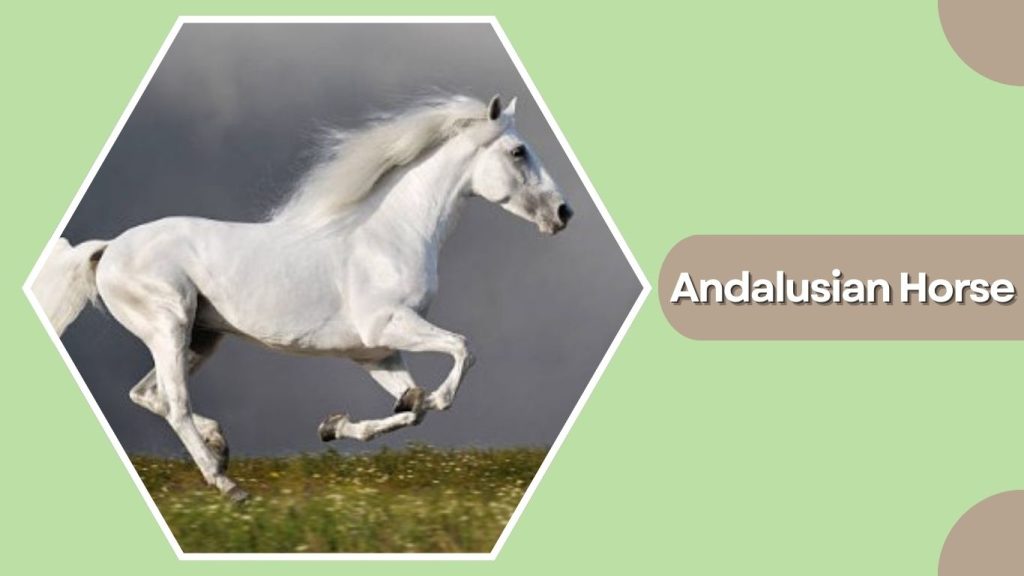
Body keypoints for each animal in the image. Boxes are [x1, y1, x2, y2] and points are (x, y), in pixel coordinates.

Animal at [33, 94, 573, 502]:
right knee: (175, 403)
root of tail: (108, 250)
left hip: (200, 337)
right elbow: (462, 352)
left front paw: (334, 426)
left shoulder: (376, 352)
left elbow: (411, 409)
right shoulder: (389, 325)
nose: (564, 212)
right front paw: (430, 397)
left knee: (149, 395)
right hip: (169, 326)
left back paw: (220, 445)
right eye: (519, 151)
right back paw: (227, 484)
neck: (389, 235)